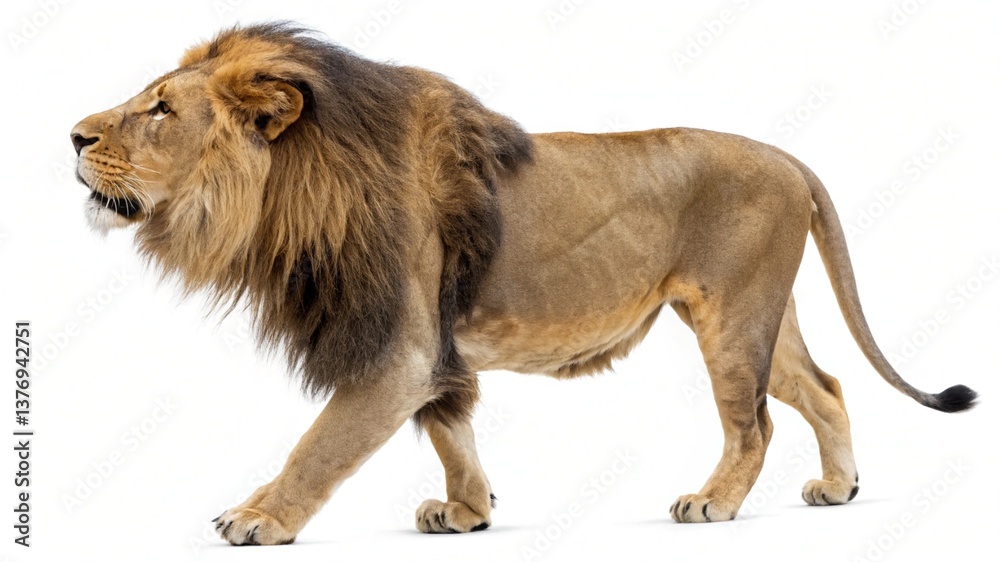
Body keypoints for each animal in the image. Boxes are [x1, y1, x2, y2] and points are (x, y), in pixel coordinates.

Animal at [70, 24, 977, 545]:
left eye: (160, 109)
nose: (72, 135)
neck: (293, 194)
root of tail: (790, 157)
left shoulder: (397, 352)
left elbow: (319, 444)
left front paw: (258, 517)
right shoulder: (434, 353)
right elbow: (452, 432)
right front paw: (469, 513)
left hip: (732, 318)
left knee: (753, 422)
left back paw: (712, 502)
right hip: (759, 313)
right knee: (824, 387)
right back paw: (839, 488)